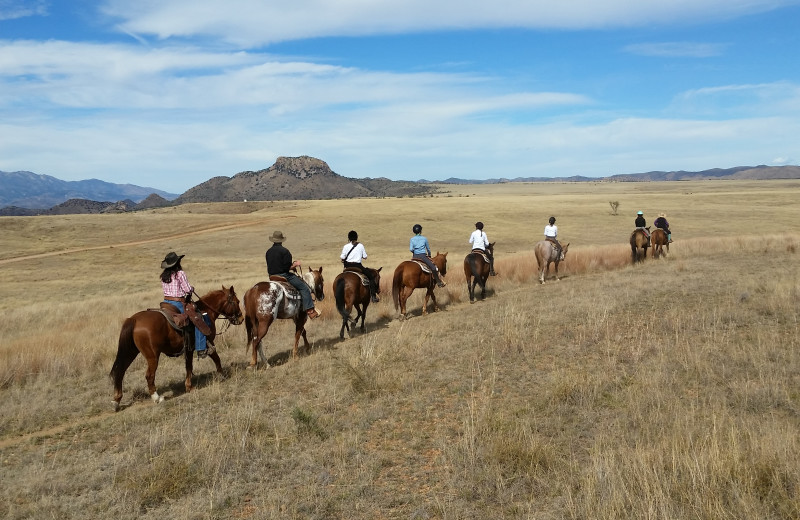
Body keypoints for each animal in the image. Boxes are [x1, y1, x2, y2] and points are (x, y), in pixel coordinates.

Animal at [108, 286, 244, 412]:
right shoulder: (208, 343)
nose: (241, 318)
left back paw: (116, 401)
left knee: (120, 372)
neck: (206, 312)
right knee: (149, 375)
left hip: (130, 352)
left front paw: (189, 386)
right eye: (236, 301)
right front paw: (221, 375)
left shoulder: (189, 349)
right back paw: (157, 398)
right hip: (152, 356)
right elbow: (216, 358)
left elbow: (189, 367)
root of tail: (134, 319)